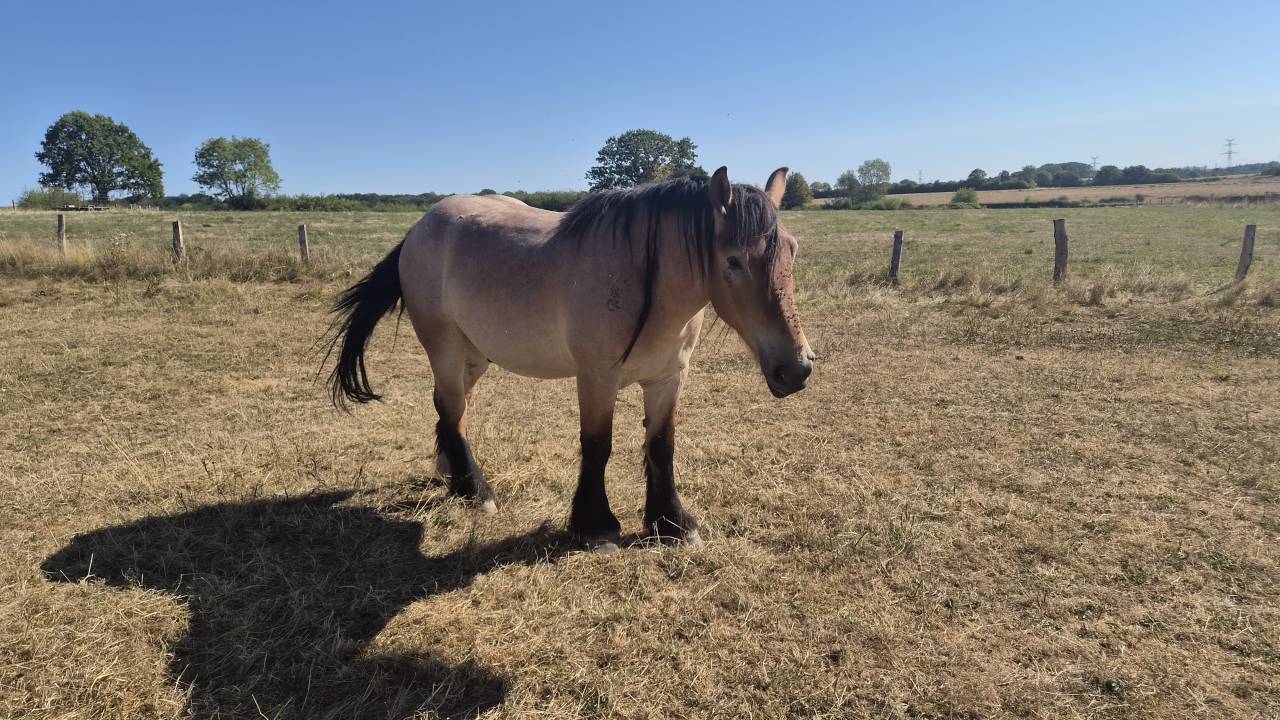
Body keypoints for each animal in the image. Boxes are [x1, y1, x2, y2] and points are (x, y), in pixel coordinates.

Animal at [326, 166, 814, 552]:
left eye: (792, 249)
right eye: (732, 261)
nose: (797, 368)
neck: (646, 283)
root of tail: (419, 230)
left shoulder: (668, 378)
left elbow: (662, 445)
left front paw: (672, 523)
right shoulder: (597, 378)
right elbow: (598, 445)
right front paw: (595, 528)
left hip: (473, 355)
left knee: (450, 411)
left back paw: (451, 472)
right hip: (445, 348)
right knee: (451, 408)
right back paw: (475, 491)